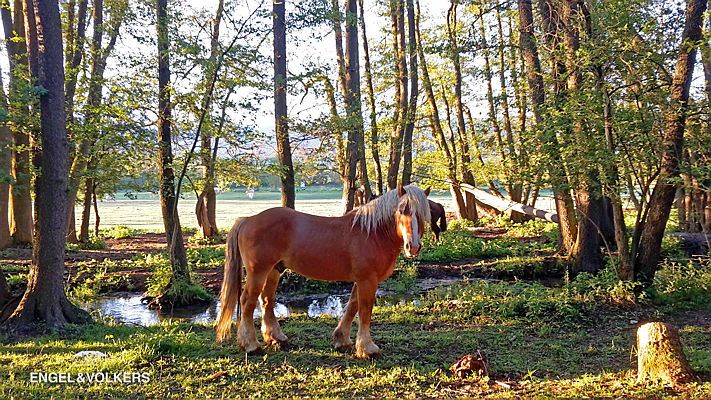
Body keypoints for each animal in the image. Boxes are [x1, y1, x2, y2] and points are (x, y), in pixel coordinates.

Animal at [214, 183, 432, 358]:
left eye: (422, 214)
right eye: (402, 210)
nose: (413, 246)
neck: (372, 233)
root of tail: (248, 219)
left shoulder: (362, 280)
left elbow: (352, 307)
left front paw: (342, 341)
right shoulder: (368, 280)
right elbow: (364, 311)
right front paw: (367, 349)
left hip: (274, 271)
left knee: (266, 301)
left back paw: (277, 338)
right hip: (258, 272)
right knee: (247, 302)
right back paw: (251, 345)